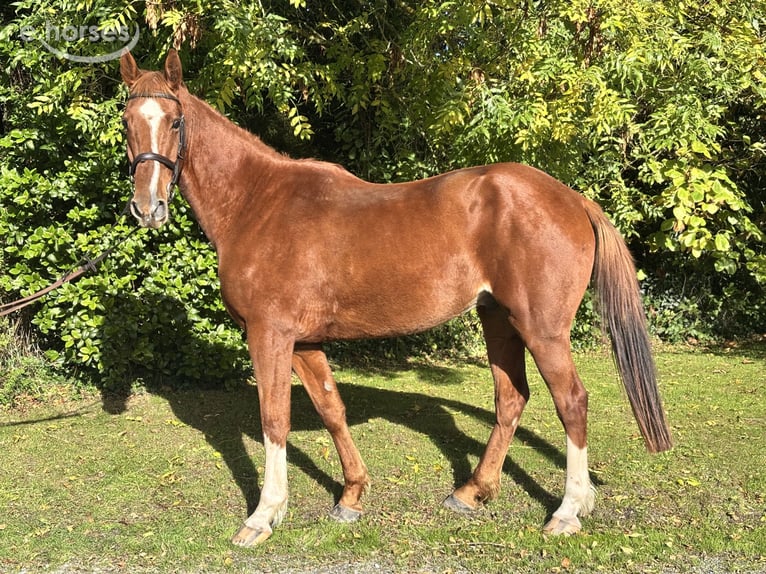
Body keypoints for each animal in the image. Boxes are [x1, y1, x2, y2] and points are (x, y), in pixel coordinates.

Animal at [119, 50, 671, 547]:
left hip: (542, 328)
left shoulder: (269, 335)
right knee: (512, 398)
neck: (259, 204)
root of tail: (572, 199)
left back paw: (568, 511)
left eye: (174, 121)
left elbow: (274, 418)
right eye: (126, 123)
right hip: (498, 319)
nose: (148, 208)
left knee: (571, 401)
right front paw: (351, 496)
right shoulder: (304, 342)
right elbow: (330, 408)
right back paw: (473, 492)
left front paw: (262, 516)